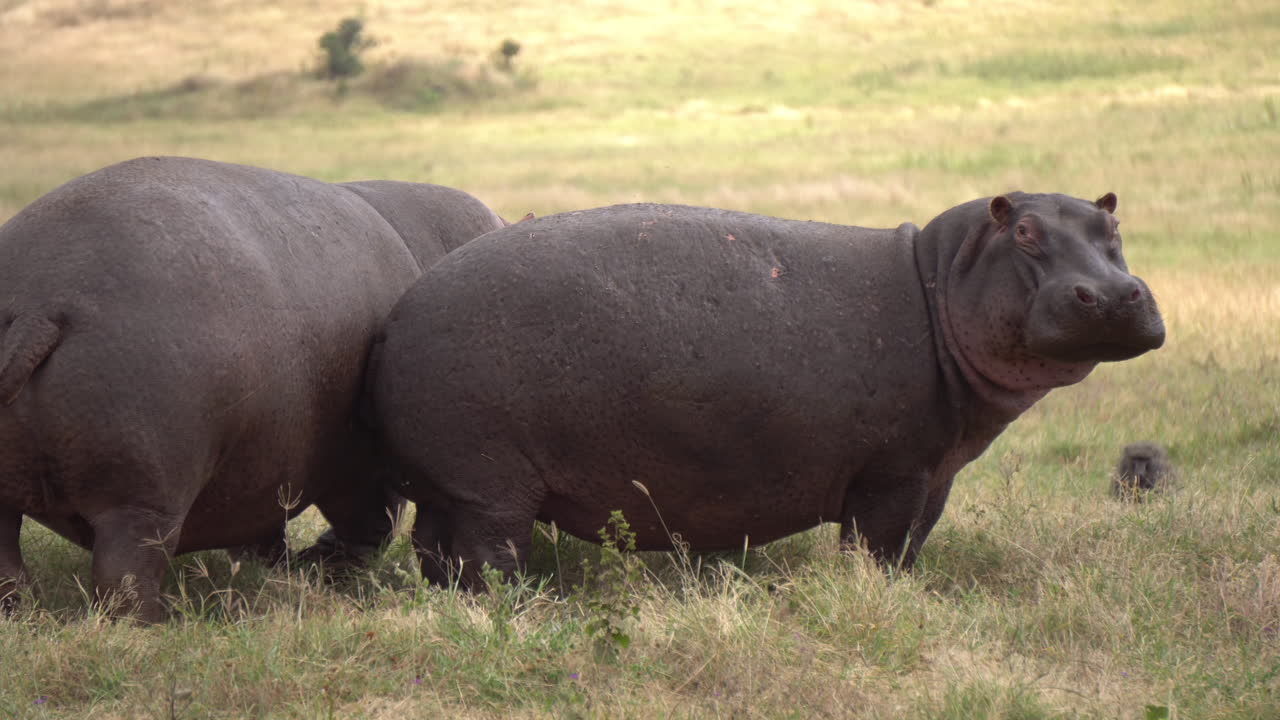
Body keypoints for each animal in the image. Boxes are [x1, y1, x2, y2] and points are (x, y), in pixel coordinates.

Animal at [0, 156, 507, 620]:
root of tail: (39, 304)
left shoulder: (264, 468)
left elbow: (265, 528)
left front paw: (285, 569)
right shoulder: (366, 467)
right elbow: (371, 523)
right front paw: (321, 570)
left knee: (11, 561)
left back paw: (23, 614)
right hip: (141, 499)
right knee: (123, 575)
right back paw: (160, 623)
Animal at [371, 192, 1165, 586]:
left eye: (1112, 222)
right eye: (1025, 231)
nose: (1114, 293)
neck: (940, 276)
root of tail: (399, 311)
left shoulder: (934, 473)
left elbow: (914, 546)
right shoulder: (893, 474)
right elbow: (877, 548)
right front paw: (876, 598)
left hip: (449, 485)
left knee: (435, 550)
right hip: (491, 485)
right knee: (489, 553)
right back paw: (515, 606)